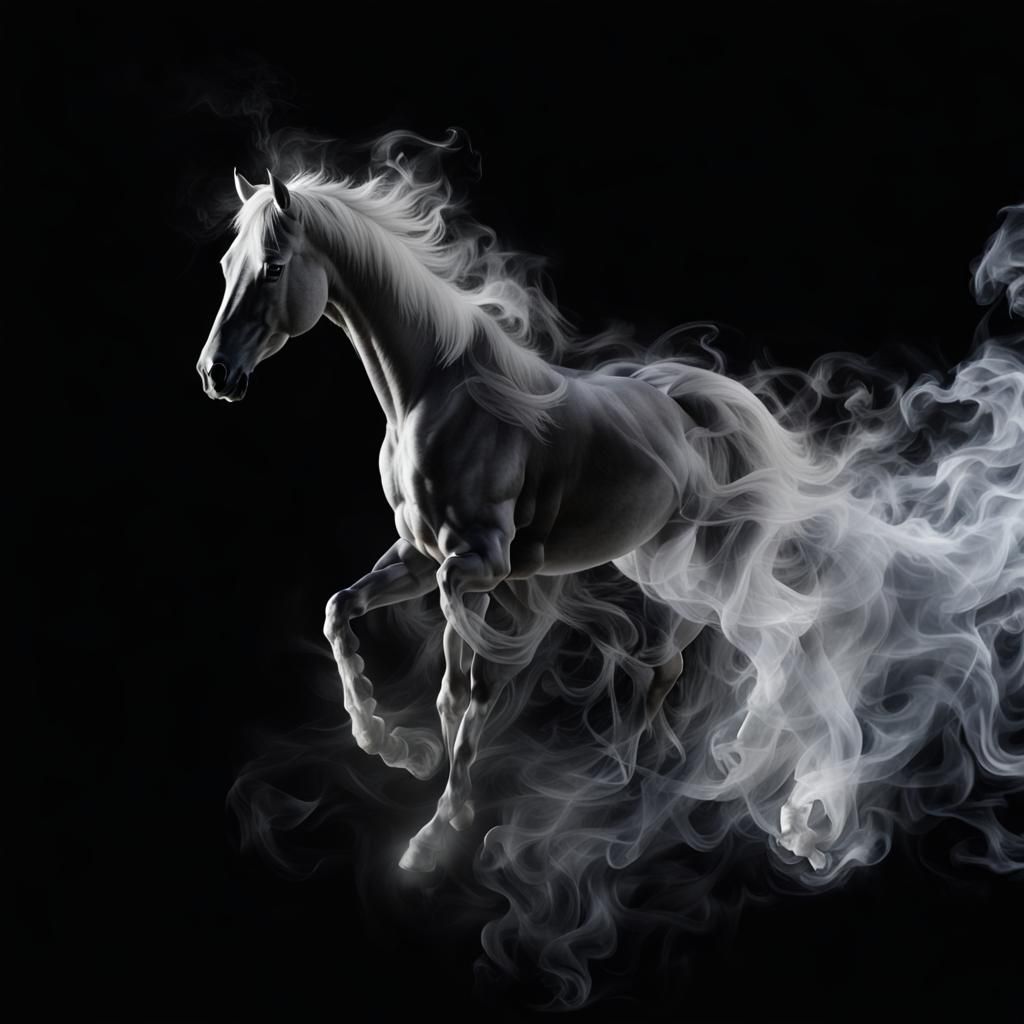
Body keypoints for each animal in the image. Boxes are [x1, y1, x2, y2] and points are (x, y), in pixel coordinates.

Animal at [197, 162, 1024, 879]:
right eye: (227, 265)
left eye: (272, 267)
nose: (215, 376)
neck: (439, 393)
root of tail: (717, 407)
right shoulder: (416, 555)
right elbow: (340, 612)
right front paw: (394, 748)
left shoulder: (475, 568)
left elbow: (460, 691)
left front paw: (434, 834)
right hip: (664, 569)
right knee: (674, 662)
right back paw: (641, 781)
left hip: (717, 571)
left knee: (784, 642)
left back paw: (788, 810)